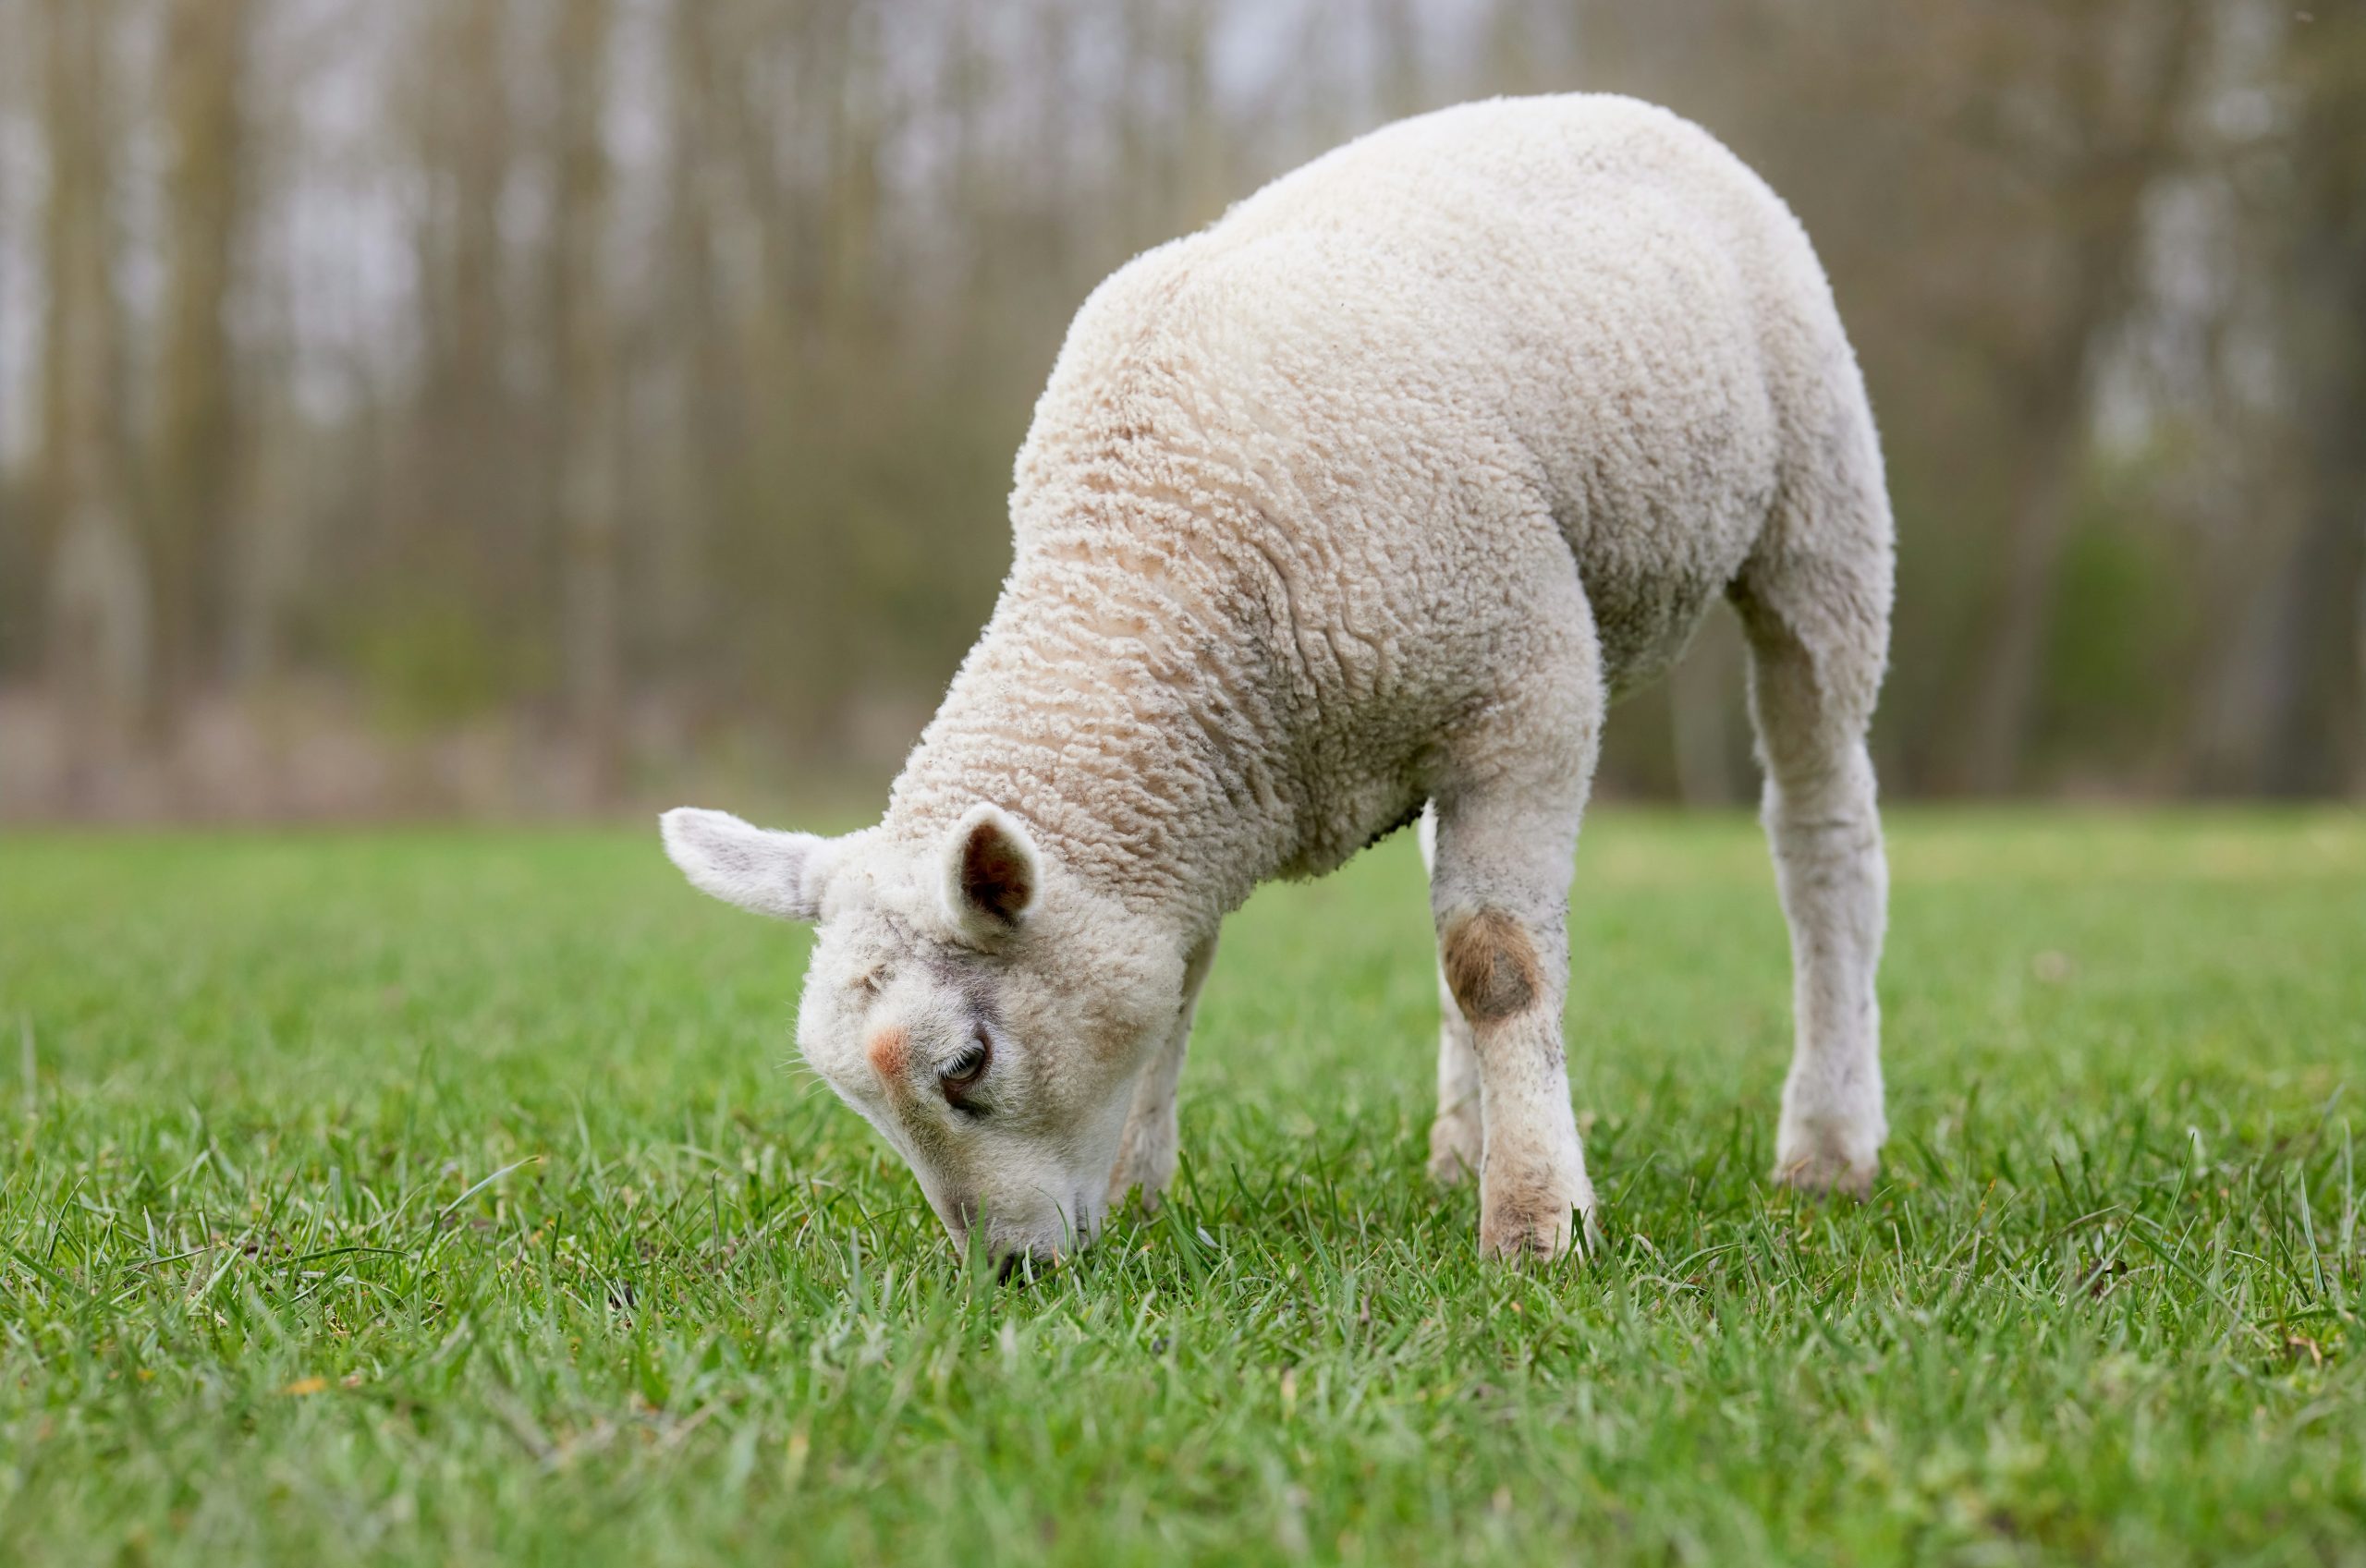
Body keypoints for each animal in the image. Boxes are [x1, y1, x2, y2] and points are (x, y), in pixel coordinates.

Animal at [662, 94, 1893, 1265]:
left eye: (966, 1060)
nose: (1010, 1273)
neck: (1153, 544)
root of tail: (1604, 103)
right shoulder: (1214, 781)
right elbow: (1182, 975)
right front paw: (1139, 1191)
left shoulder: (1529, 692)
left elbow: (1497, 962)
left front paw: (1539, 1223)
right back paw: (1462, 1143)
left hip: (1817, 512)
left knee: (1820, 828)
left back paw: (1828, 1145)